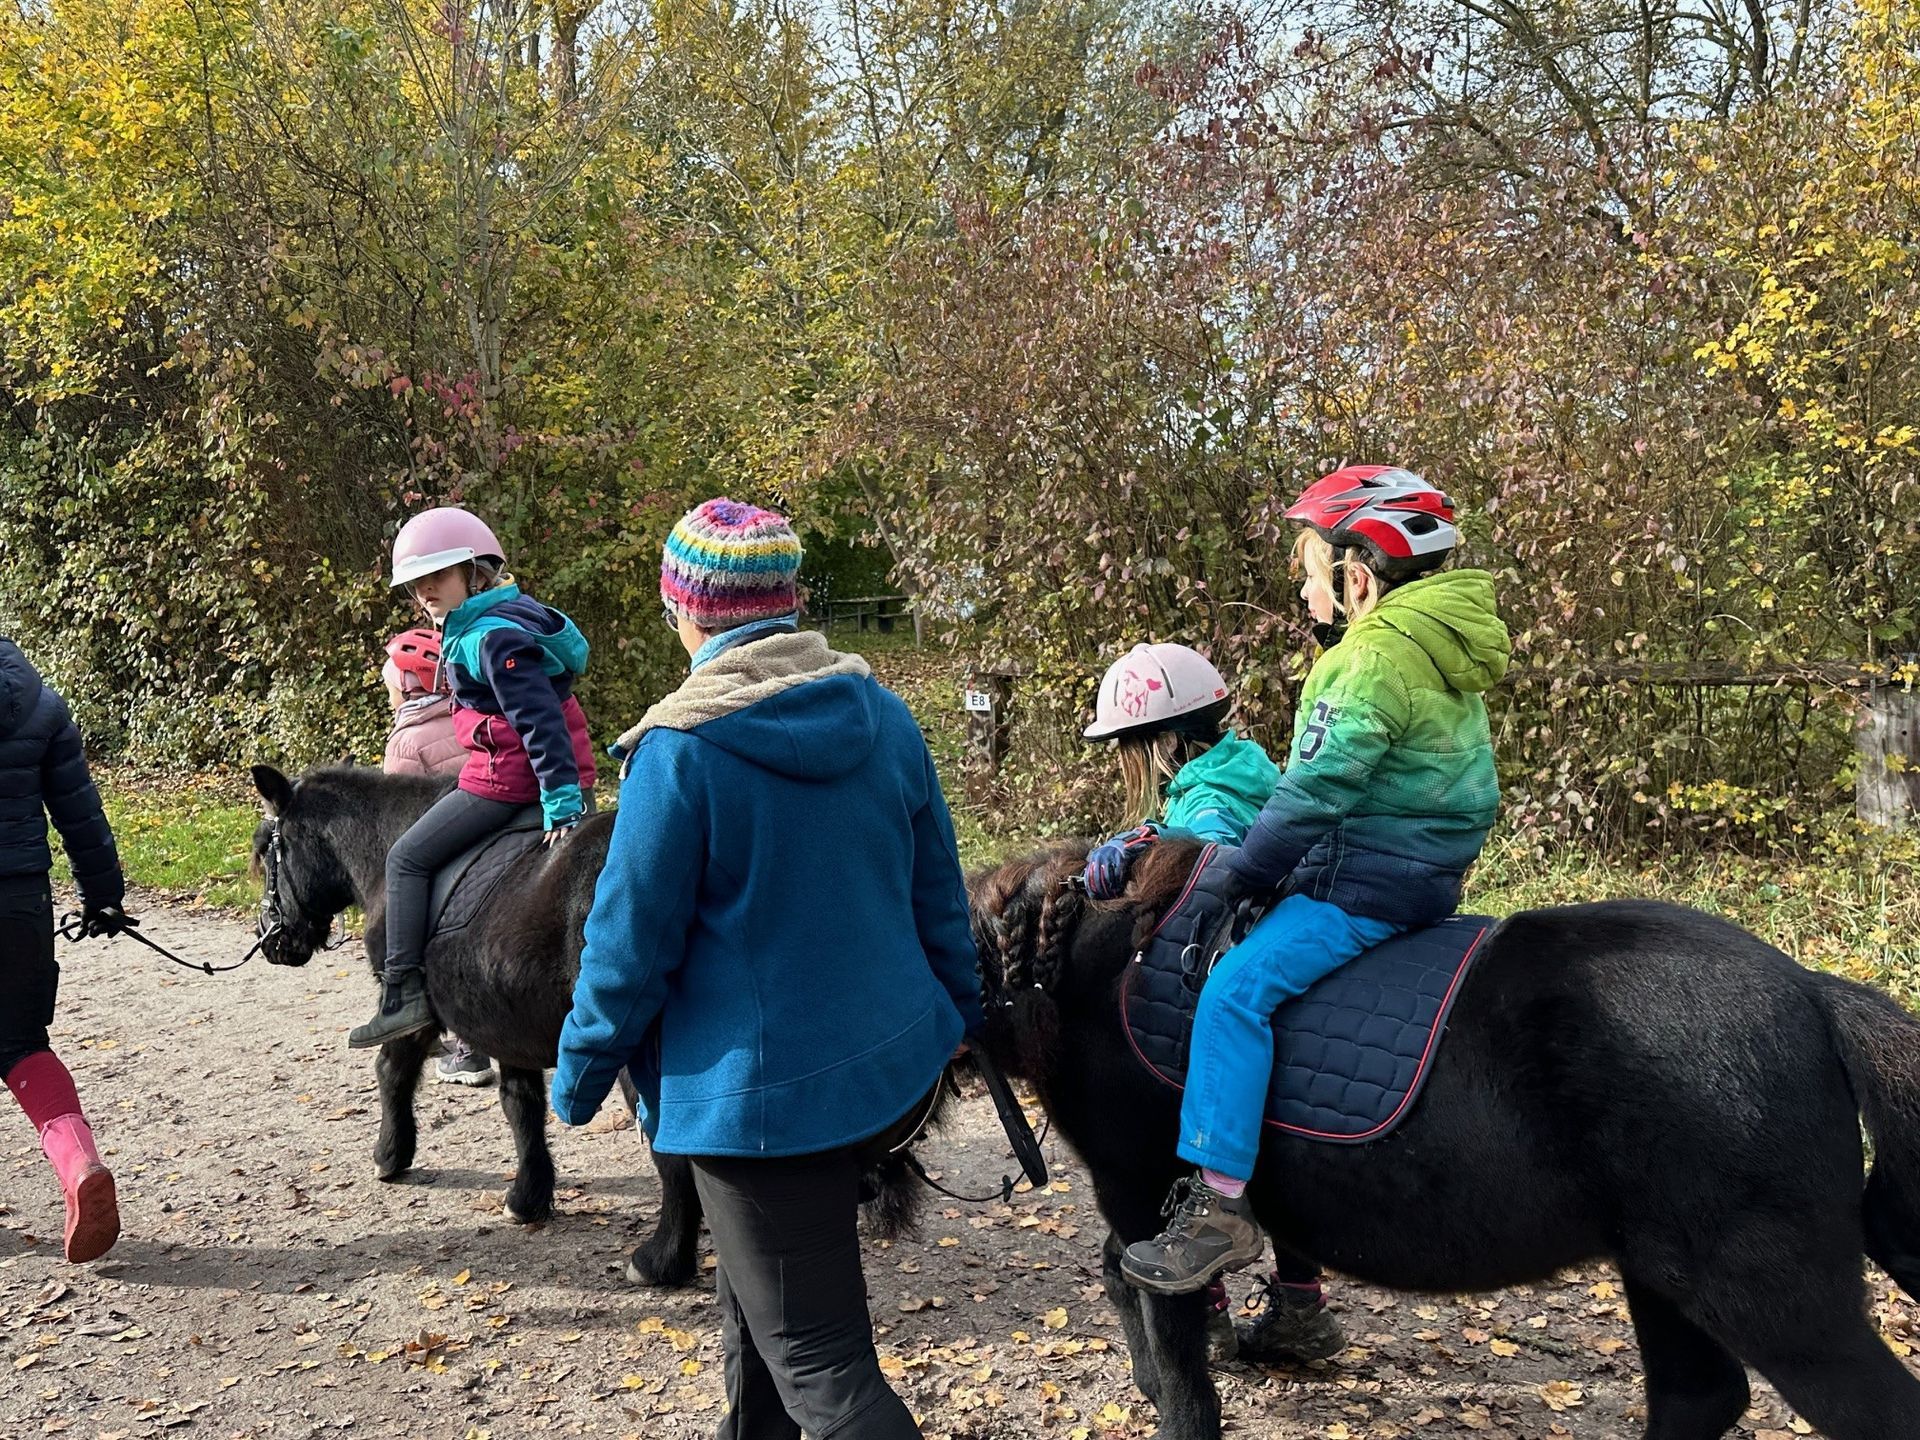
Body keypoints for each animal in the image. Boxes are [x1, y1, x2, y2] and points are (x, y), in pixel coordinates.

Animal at [248, 763, 700, 1284]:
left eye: (268, 854)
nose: (271, 942)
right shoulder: (504, 1018)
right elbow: (521, 1106)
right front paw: (528, 1196)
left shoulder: (411, 1011)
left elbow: (392, 1071)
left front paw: (390, 1155)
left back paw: (663, 1259)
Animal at [966, 839, 1920, 1440]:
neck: (1095, 961)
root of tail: (1813, 992)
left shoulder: (1138, 1193)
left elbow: (1171, 1348)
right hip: (1663, 1272)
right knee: (1699, 1399)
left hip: (1774, 1301)